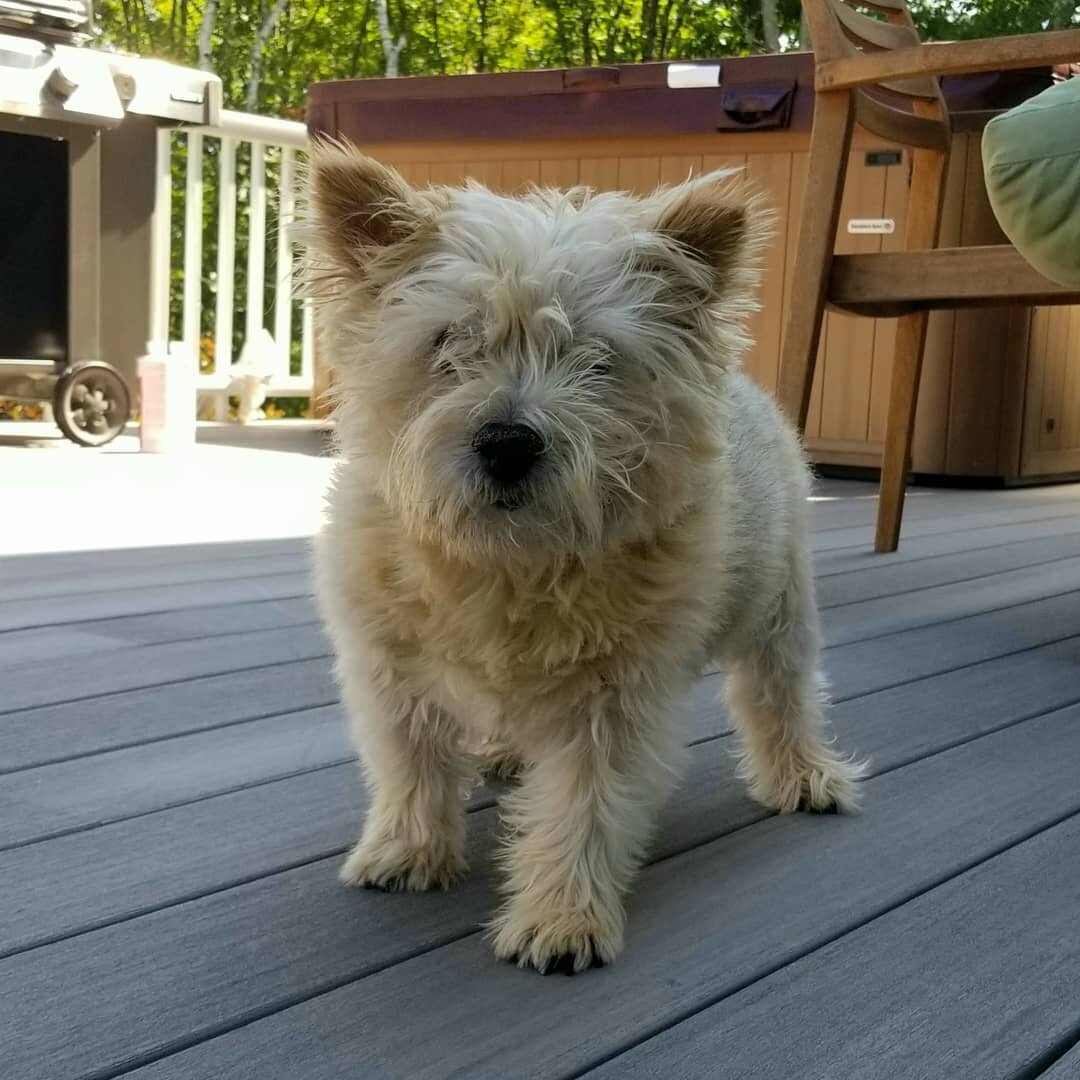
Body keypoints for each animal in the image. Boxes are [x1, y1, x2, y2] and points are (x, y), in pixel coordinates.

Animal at [308, 141, 864, 972]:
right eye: (446, 341)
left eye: (597, 358)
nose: (508, 444)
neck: (508, 564)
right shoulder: (390, 670)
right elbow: (410, 763)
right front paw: (408, 851)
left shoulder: (612, 702)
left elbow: (583, 805)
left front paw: (561, 917)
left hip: (779, 609)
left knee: (781, 695)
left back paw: (806, 775)